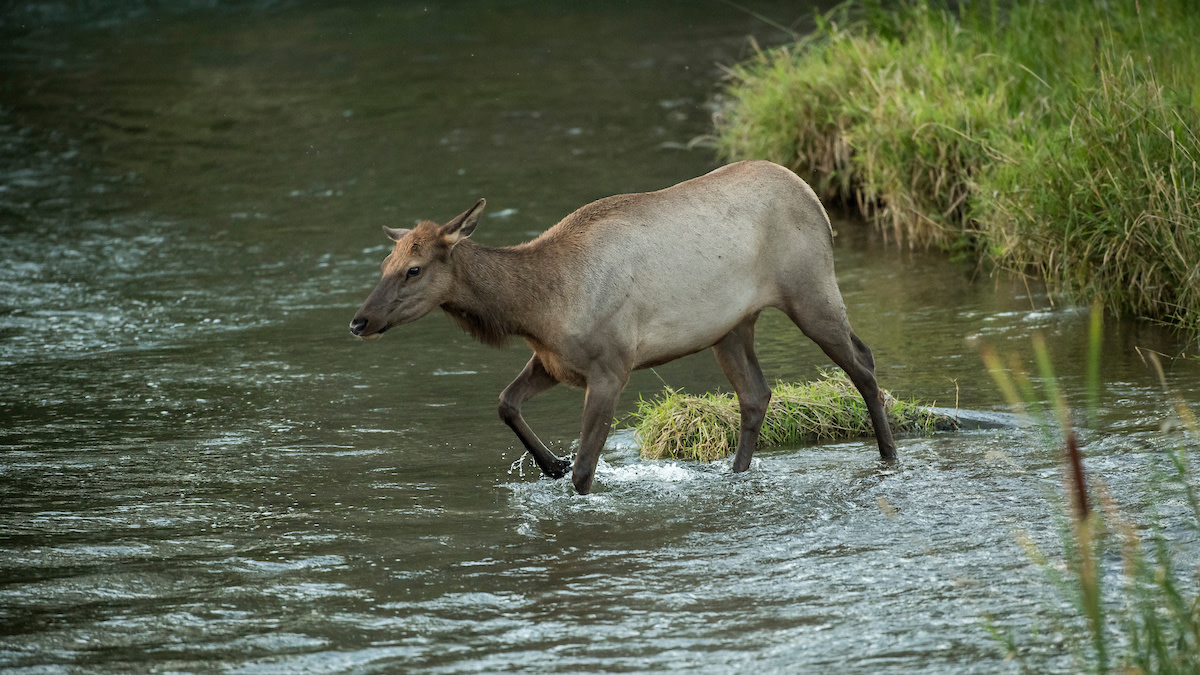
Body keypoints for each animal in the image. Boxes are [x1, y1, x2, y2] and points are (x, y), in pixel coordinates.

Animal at [350, 159, 897, 492]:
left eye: (413, 269)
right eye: (383, 264)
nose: (359, 321)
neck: (537, 309)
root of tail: (814, 196)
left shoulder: (611, 366)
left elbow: (586, 470)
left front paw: (566, 471)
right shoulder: (553, 360)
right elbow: (505, 402)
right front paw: (551, 463)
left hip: (810, 290)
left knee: (863, 361)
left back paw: (889, 457)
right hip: (732, 326)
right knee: (756, 393)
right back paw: (736, 474)